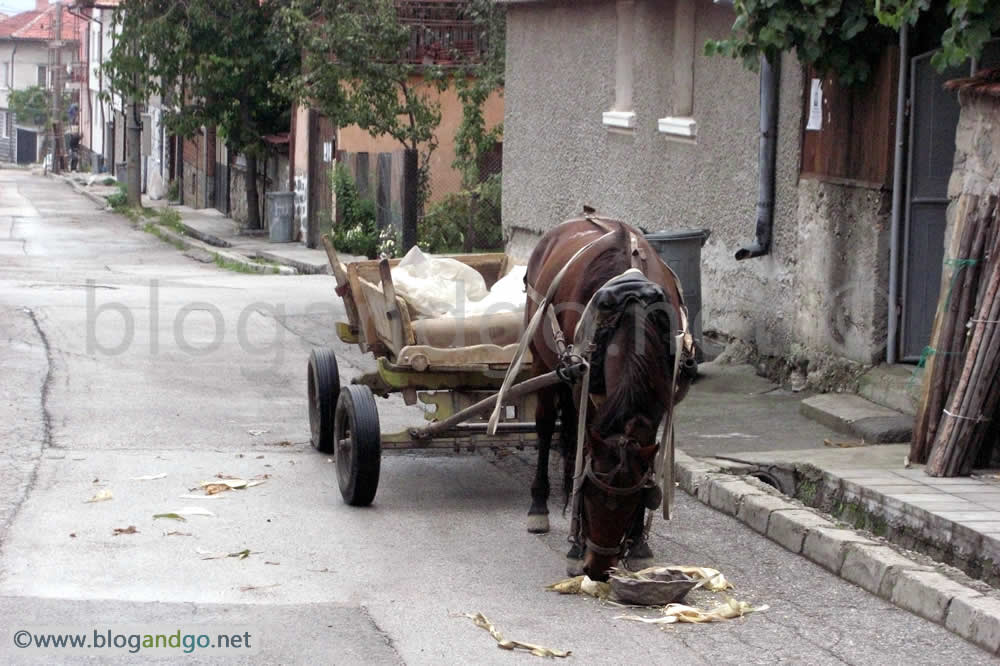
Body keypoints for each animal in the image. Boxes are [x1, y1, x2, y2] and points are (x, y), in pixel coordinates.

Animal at [524, 215, 696, 580]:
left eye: (634, 501)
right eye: (589, 495)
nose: (599, 570)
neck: (630, 305)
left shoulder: (657, 399)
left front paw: (640, 544)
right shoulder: (582, 385)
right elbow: (583, 448)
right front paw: (575, 546)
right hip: (542, 360)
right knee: (546, 426)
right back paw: (539, 504)